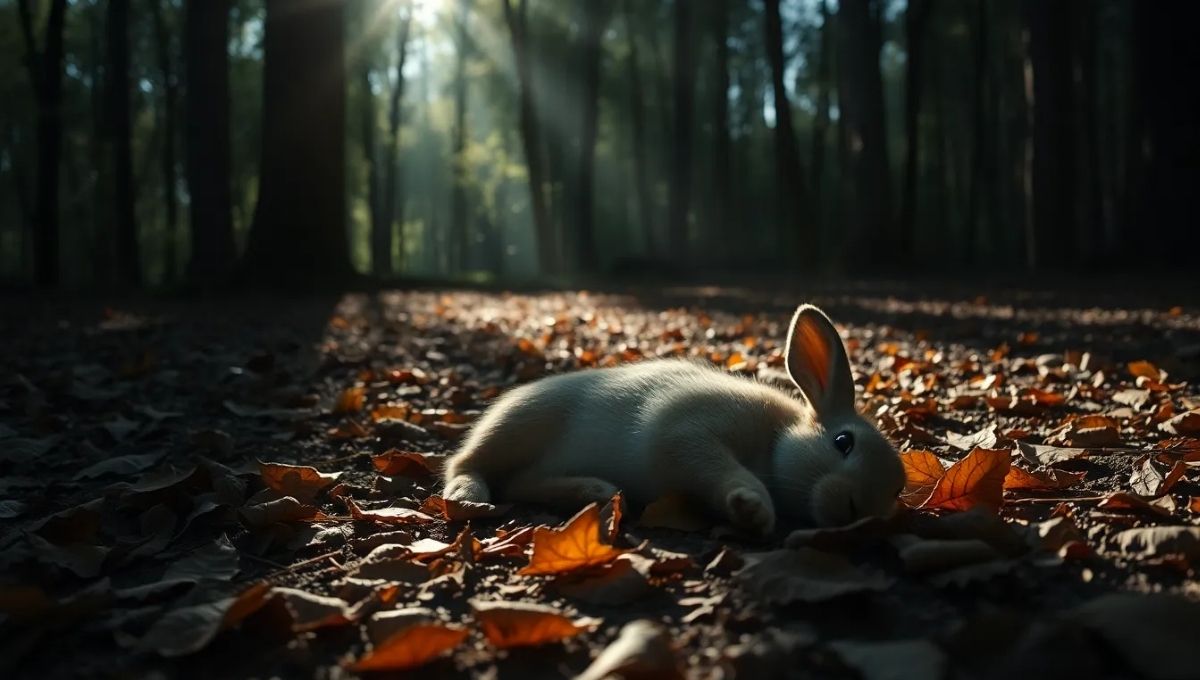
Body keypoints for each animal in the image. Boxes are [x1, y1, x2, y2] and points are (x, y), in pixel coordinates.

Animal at [442, 304, 906, 533]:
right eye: (843, 442)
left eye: (897, 491)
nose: (855, 511)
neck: (777, 438)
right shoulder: (687, 434)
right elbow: (721, 470)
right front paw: (753, 509)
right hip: (518, 427)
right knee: (468, 466)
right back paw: (469, 497)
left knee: (518, 483)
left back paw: (594, 490)